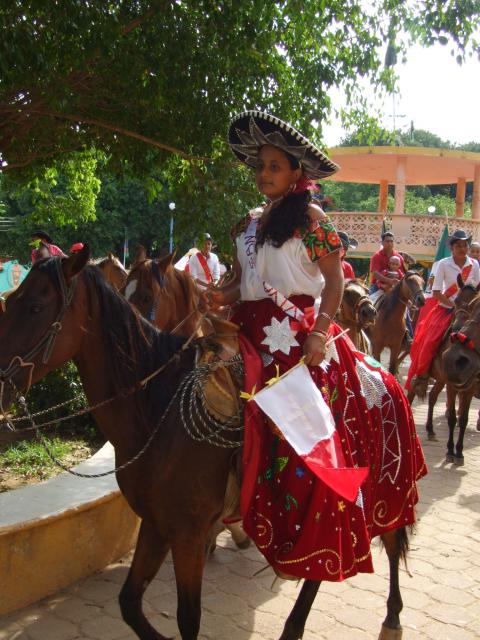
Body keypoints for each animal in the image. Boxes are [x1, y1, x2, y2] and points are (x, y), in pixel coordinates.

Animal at [0, 249, 416, 640]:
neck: (156, 408)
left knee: (384, 541)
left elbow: (188, 618)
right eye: (11, 301)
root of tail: (384, 373)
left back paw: (387, 618)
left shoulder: (187, 533)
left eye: (35, 306)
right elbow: (130, 603)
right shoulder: (156, 523)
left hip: (375, 491)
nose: (1, 381)